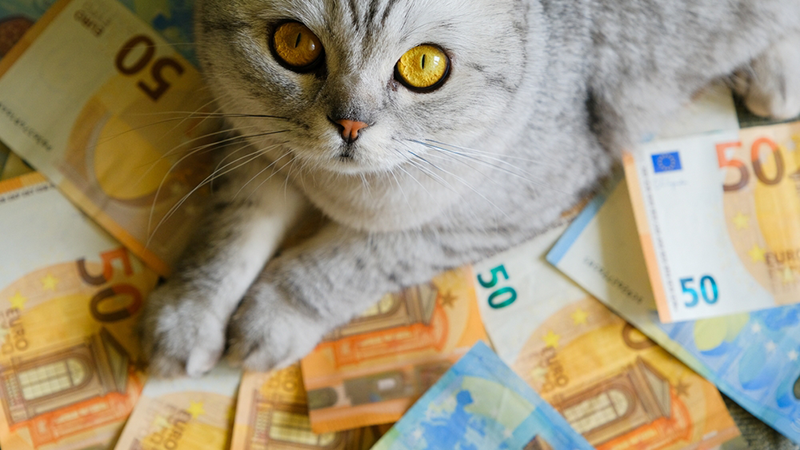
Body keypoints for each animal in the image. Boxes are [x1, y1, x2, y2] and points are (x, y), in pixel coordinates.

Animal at [141, 0, 800, 378]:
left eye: (425, 66)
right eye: (294, 44)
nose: (350, 124)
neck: (335, 186)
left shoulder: (488, 214)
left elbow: (344, 261)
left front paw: (273, 315)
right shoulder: (255, 145)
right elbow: (228, 236)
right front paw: (187, 314)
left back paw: (774, 74)